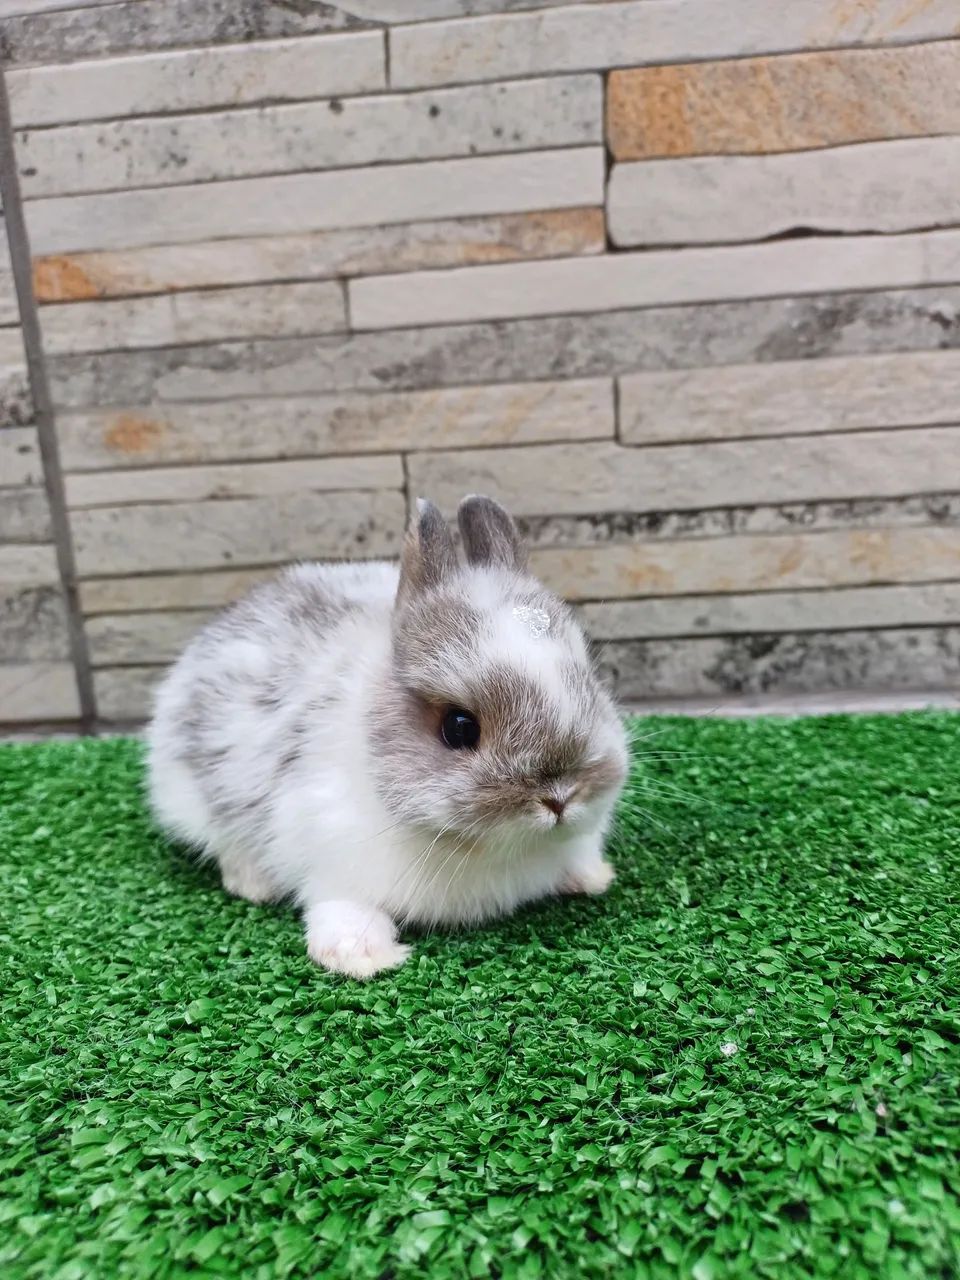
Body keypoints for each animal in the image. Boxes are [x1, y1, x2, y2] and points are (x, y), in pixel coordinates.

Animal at [146, 495, 629, 979]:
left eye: (589, 682)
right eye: (459, 727)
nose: (560, 797)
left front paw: (593, 877)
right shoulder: (333, 858)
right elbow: (342, 909)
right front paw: (363, 958)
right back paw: (254, 884)